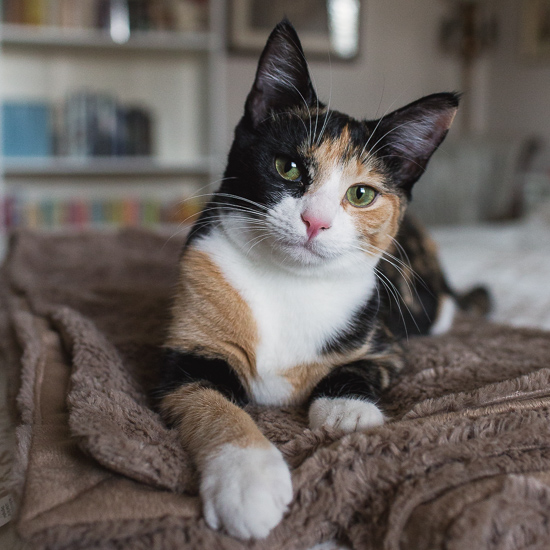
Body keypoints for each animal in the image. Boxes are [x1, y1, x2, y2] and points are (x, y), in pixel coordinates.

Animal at [157, 20, 490, 544]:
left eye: (362, 193)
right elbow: (211, 403)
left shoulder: (383, 340)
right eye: (288, 166)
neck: (289, 282)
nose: (315, 221)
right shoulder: (190, 350)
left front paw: (346, 410)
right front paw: (248, 482)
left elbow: (358, 368)